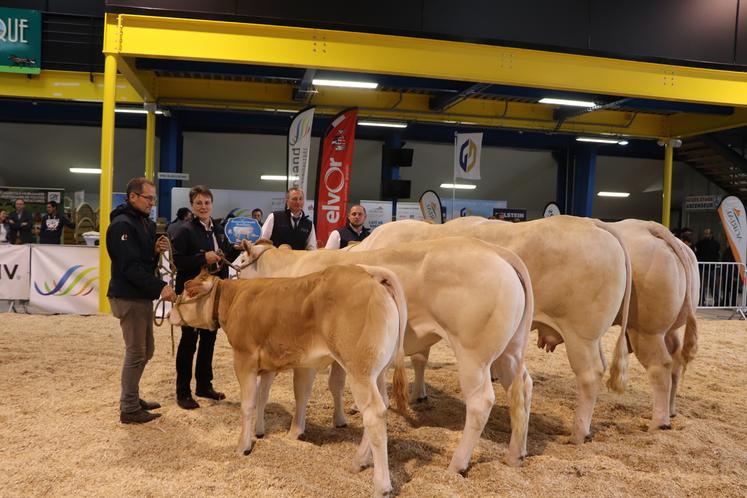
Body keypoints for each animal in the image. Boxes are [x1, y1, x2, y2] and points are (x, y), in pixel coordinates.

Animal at [170, 266, 410, 496]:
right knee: (383, 405)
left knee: (374, 413)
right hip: (378, 371)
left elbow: (247, 405)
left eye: (189, 290)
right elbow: (262, 397)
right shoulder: (267, 366)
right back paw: (360, 461)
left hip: (359, 369)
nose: (171, 310)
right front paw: (259, 432)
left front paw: (243, 446)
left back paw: (381, 485)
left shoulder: (244, 358)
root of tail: (370, 275)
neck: (236, 298)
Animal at [237, 237, 536, 470]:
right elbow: (335, 384)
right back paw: (515, 455)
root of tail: (498, 252)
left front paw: (294, 432)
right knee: (522, 387)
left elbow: (301, 390)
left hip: (473, 355)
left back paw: (457, 464)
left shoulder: (306, 354)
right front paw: (339, 420)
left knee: (480, 402)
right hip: (509, 350)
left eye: (238, 265)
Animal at [352, 215, 632, 444]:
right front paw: (417, 395)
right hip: (592, 337)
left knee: (589, 375)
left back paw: (577, 433)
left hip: (580, 335)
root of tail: (594, 223)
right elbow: (420, 358)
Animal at [608, 220, 700, 430]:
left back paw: (659, 423)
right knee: (675, 361)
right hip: (668, 329)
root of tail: (652, 227)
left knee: (660, 366)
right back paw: (671, 411)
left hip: (646, 331)